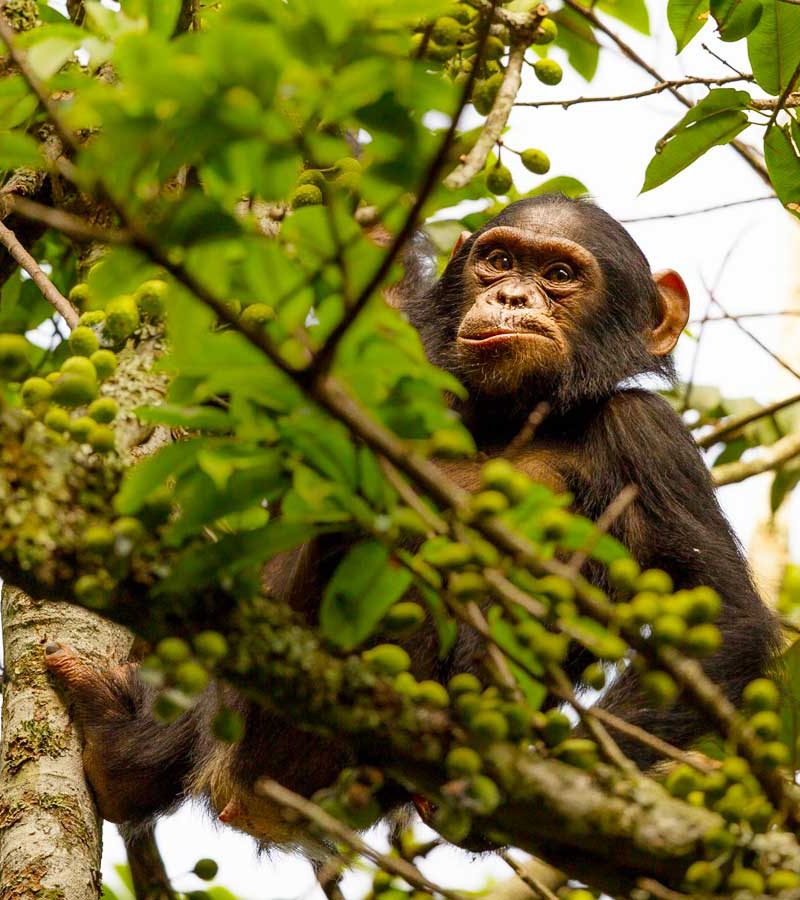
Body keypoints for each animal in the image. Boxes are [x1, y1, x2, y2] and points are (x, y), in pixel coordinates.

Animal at [44, 193, 778, 851]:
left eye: (560, 274)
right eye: (500, 260)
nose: (514, 297)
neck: (508, 416)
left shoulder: (651, 439)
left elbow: (722, 616)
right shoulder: (399, 340)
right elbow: (373, 257)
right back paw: (121, 750)